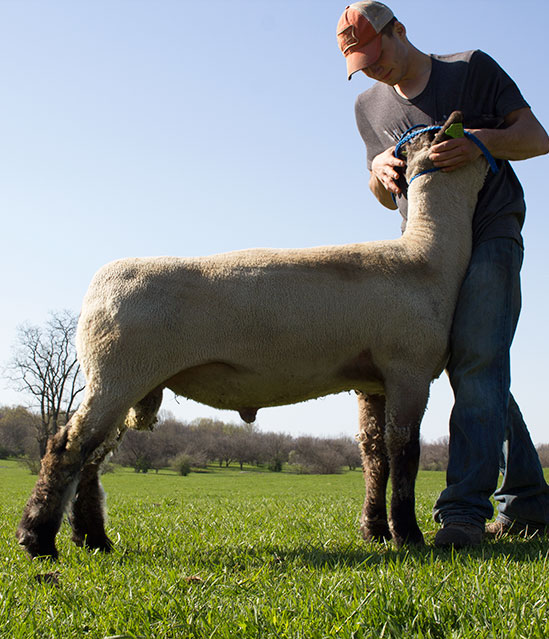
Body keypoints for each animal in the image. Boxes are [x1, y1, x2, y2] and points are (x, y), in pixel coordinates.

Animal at [16, 112, 488, 556]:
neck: (426, 256)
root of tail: (98, 285)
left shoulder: (372, 382)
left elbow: (375, 456)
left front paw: (375, 532)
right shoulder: (409, 369)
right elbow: (405, 452)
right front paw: (408, 536)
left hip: (124, 381)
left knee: (92, 459)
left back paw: (92, 538)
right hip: (118, 374)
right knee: (67, 447)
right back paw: (38, 540)